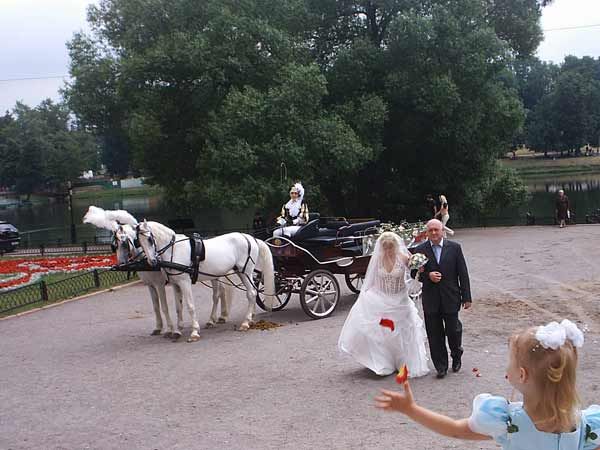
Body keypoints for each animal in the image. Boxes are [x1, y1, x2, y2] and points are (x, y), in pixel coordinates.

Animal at [134, 220, 275, 340]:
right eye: (138, 241)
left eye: (149, 239)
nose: (152, 261)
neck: (174, 250)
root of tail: (250, 238)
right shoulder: (176, 284)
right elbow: (178, 307)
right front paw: (177, 331)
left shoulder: (184, 282)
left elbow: (190, 306)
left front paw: (194, 332)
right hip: (241, 272)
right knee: (251, 293)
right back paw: (248, 319)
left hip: (246, 272)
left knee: (251, 293)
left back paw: (245, 322)